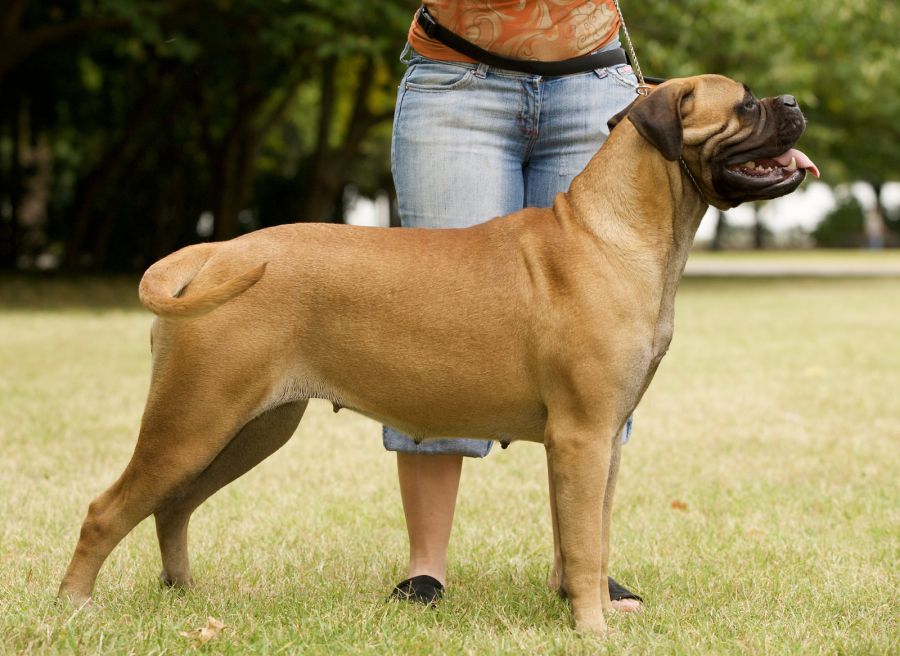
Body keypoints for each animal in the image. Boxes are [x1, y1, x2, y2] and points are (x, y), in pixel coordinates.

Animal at [56, 74, 816, 632]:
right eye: (745, 105)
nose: (794, 102)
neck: (619, 227)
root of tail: (218, 250)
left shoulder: (603, 440)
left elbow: (588, 534)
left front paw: (591, 607)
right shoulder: (582, 436)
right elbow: (583, 540)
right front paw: (593, 629)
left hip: (248, 428)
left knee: (172, 506)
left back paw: (183, 590)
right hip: (193, 418)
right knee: (108, 508)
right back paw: (75, 606)